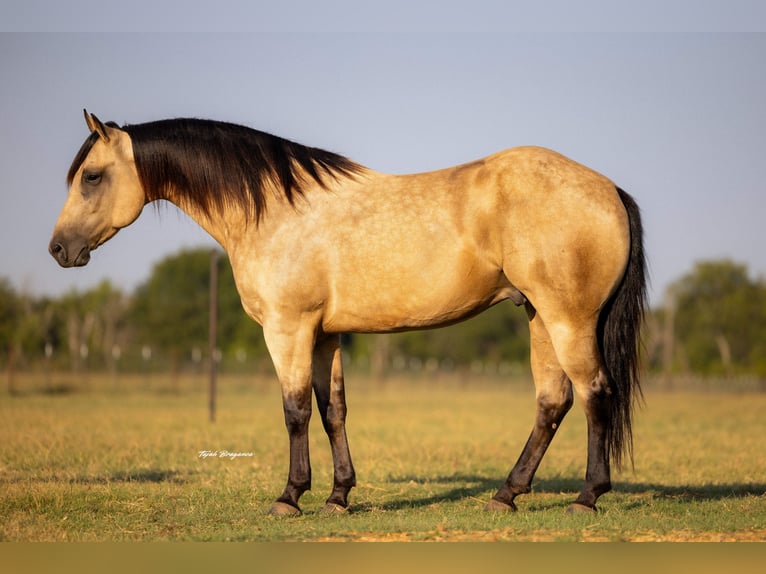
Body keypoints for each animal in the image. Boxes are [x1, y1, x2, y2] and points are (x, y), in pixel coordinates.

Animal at [50, 110, 646, 516]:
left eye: (92, 177)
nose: (58, 249)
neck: (275, 211)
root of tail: (608, 188)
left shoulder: (287, 330)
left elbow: (294, 411)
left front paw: (290, 497)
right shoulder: (324, 335)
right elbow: (332, 410)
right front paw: (338, 495)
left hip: (568, 320)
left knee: (594, 394)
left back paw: (586, 497)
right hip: (539, 318)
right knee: (553, 402)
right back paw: (506, 494)